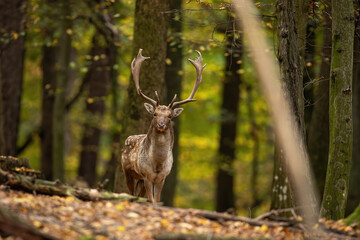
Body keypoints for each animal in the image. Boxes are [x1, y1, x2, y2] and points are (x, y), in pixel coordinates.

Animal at [121, 49, 205, 204]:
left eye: (170, 116)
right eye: (154, 114)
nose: (161, 124)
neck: (158, 164)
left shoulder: (162, 178)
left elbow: (157, 199)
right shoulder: (146, 175)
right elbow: (152, 200)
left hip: (139, 180)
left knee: (138, 195)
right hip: (128, 172)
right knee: (131, 193)